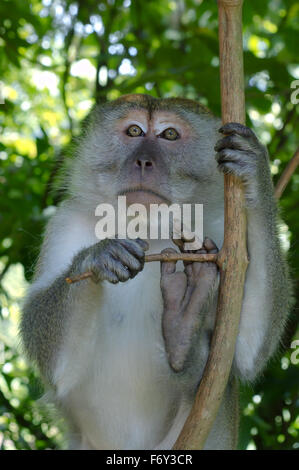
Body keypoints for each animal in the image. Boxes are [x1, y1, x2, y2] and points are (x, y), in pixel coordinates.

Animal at [21, 93, 292, 450]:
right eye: (134, 131)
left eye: (170, 135)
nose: (144, 161)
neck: (148, 228)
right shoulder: (65, 220)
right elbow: (56, 363)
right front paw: (97, 257)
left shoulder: (223, 233)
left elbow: (246, 354)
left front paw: (256, 175)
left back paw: (182, 331)